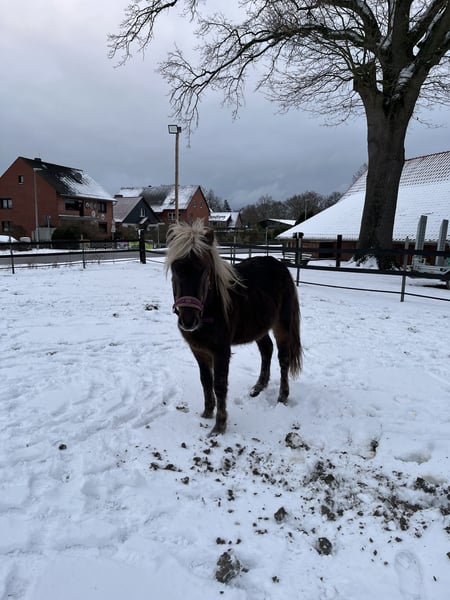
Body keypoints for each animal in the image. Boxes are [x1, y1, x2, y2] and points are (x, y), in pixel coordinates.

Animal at [165, 220, 302, 434]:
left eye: (204, 269)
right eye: (175, 268)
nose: (188, 320)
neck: (212, 307)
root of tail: (281, 266)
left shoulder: (221, 351)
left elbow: (219, 385)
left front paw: (219, 426)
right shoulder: (198, 350)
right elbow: (206, 381)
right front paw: (206, 413)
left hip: (282, 325)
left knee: (283, 358)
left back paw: (282, 396)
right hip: (259, 326)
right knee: (267, 350)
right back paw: (258, 387)